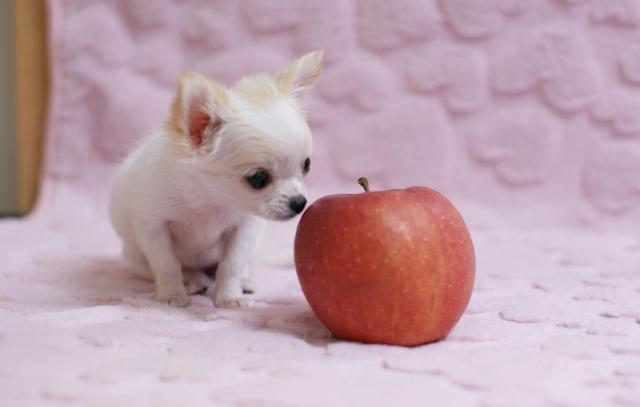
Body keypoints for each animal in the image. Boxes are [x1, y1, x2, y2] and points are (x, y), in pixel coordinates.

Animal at [109, 51, 323, 308]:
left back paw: (244, 282)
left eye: (307, 165)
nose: (300, 203)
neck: (210, 198)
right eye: (258, 178)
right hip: (135, 258)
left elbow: (232, 264)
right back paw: (193, 280)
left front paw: (230, 297)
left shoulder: (244, 228)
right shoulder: (153, 227)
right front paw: (172, 295)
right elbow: (167, 265)